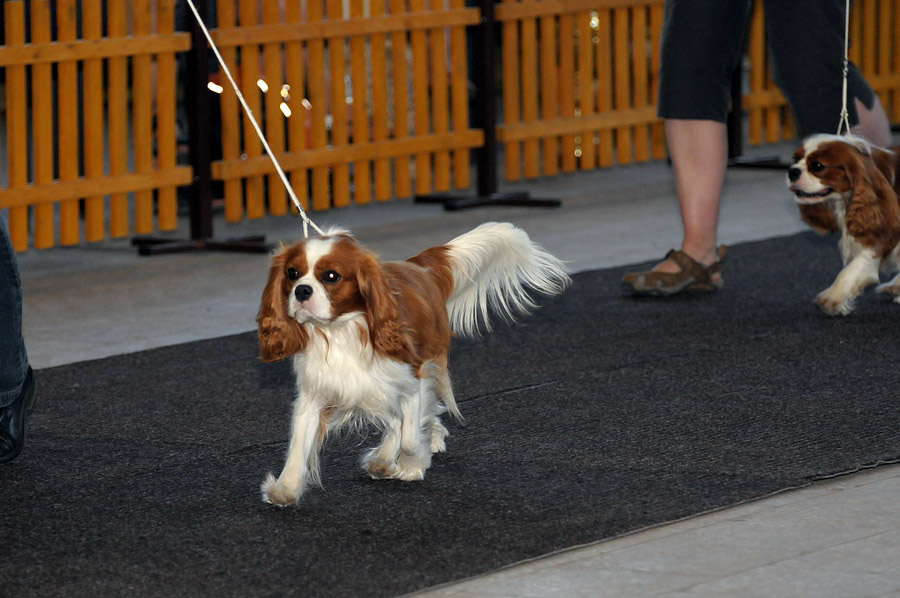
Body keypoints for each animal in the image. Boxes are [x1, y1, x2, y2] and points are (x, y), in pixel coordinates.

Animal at [256, 222, 570, 506]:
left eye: (331, 276)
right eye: (292, 274)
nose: (301, 291)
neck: (341, 331)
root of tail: (417, 267)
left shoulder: (412, 381)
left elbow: (407, 434)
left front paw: (410, 464)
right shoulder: (314, 393)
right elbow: (299, 444)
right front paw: (285, 488)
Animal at [787, 134, 900, 315]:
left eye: (817, 166)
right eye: (795, 159)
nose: (792, 171)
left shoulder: (883, 232)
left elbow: (851, 269)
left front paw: (832, 297)